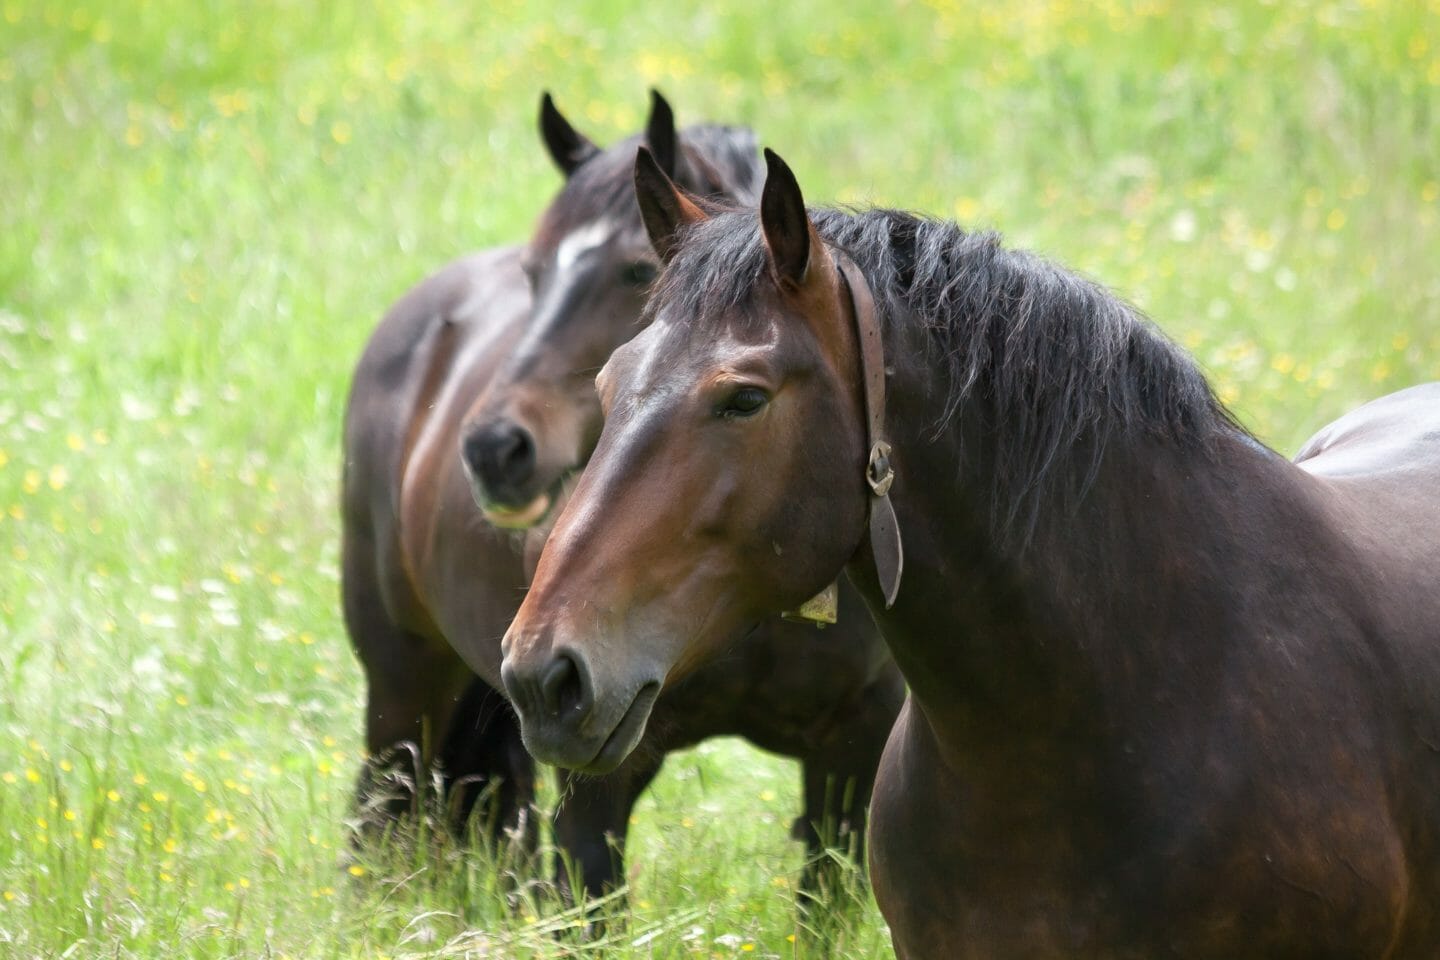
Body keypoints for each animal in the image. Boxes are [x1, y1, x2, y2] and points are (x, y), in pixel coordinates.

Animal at [341, 95, 902, 906]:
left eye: (636, 271)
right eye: (533, 273)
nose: (493, 448)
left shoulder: (852, 761)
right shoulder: (597, 767)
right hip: (402, 691)